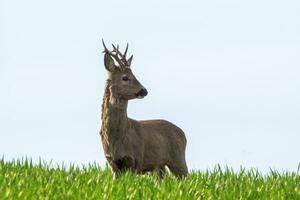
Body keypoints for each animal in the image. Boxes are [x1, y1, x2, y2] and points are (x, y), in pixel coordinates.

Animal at [99, 40, 188, 178]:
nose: (144, 91)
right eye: (125, 77)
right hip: (159, 166)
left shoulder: (135, 159)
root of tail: (183, 134)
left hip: (178, 159)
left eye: (134, 75)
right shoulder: (112, 163)